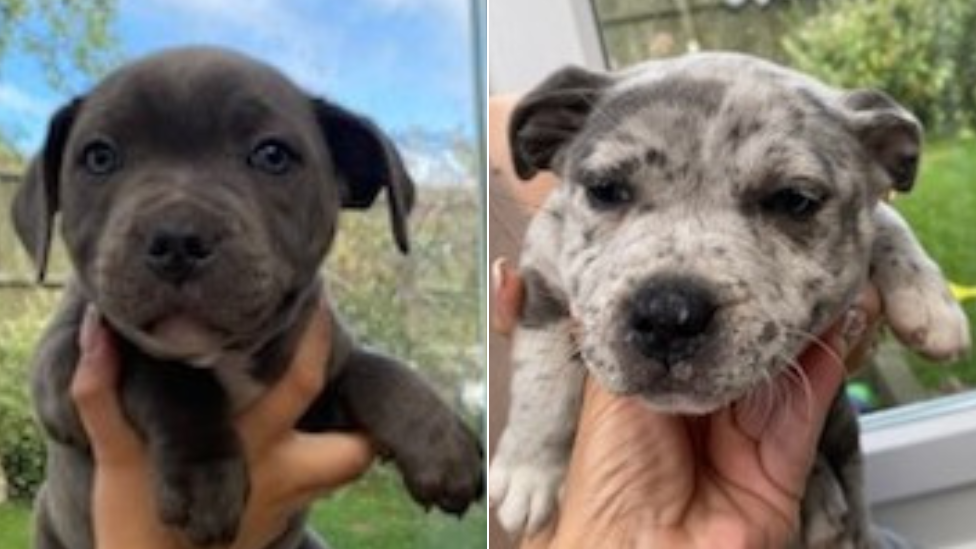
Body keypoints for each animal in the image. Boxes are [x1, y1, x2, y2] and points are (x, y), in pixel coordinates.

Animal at [14, 47, 484, 548]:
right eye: (100, 157)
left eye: (272, 155)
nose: (177, 238)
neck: (223, 354)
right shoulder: (63, 371)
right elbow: (166, 374)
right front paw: (204, 478)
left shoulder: (315, 407)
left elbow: (374, 367)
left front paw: (439, 441)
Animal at [492, 52, 972, 548]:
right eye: (605, 190)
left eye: (794, 200)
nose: (669, 315)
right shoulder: (540, 275)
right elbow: (542, 372)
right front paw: (528, 470)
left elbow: (886, 219)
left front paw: (929, 302)